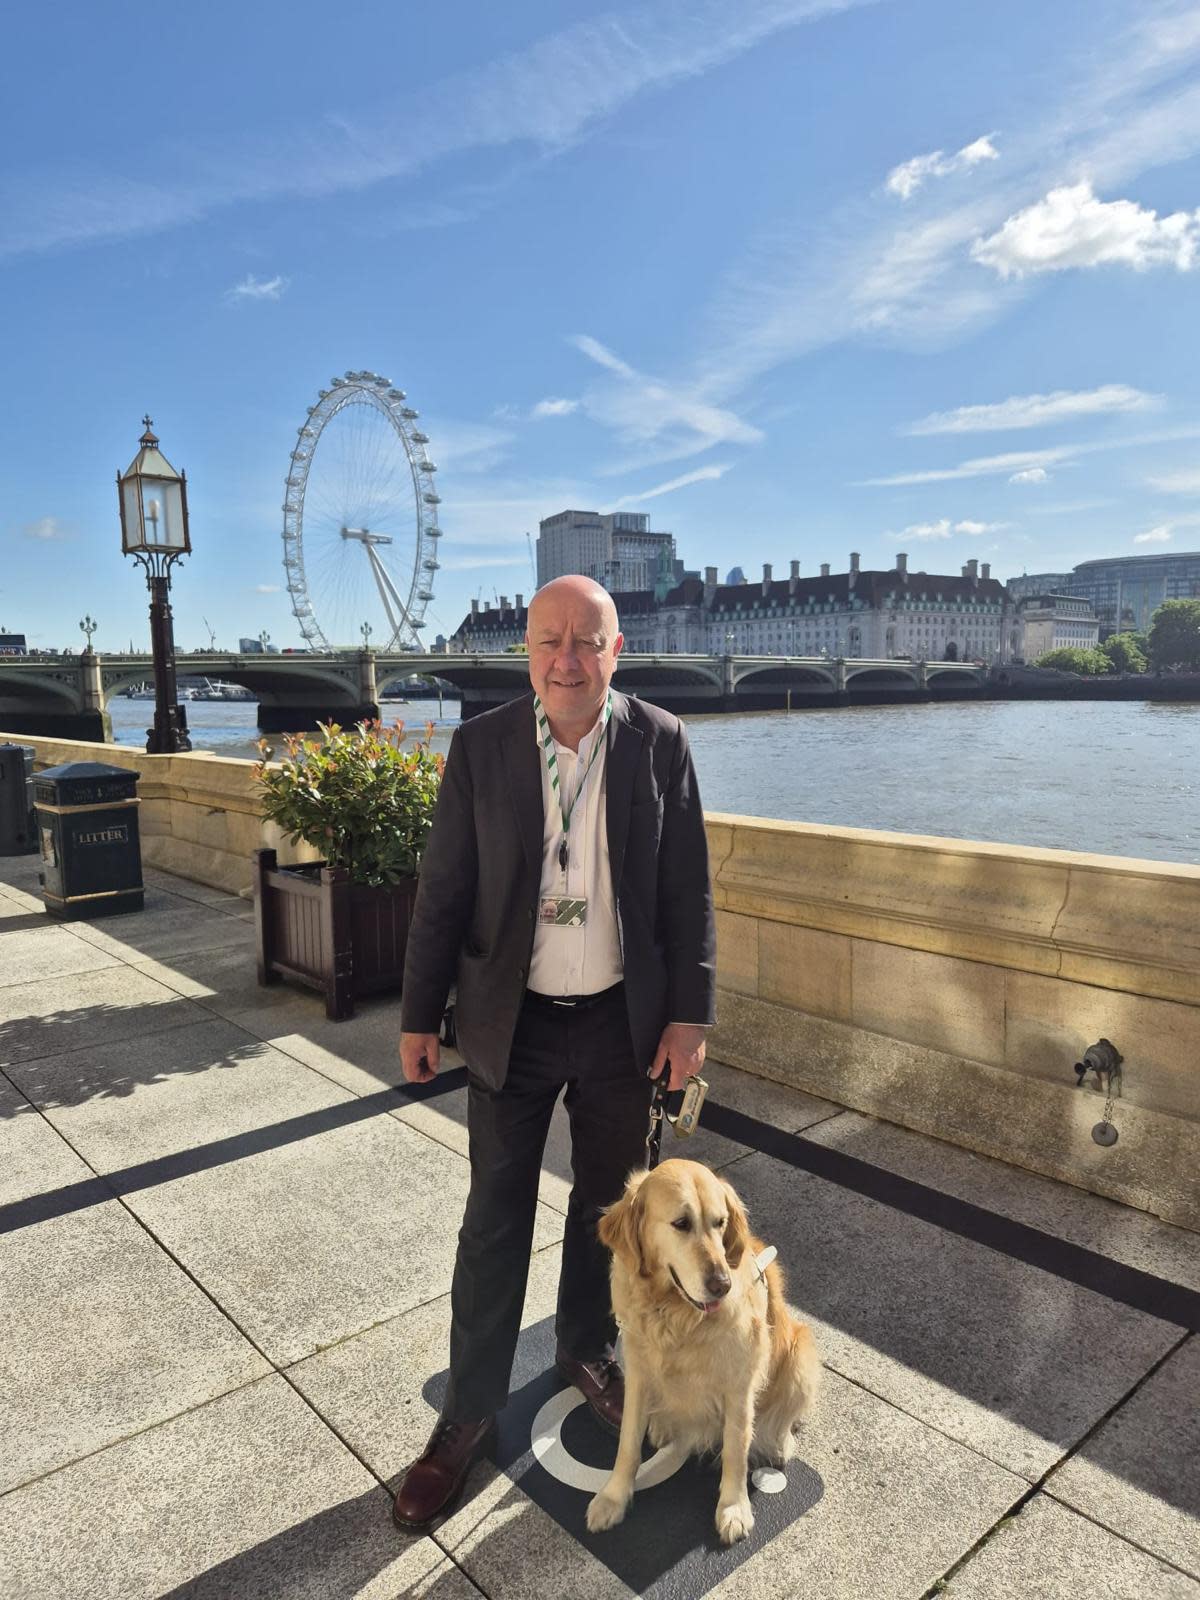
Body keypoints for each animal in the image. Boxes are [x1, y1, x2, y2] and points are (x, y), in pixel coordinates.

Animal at [588, 1158, 825, 1542]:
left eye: (720, 1222)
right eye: (681, 1224)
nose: (722, 1285)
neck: (675, 1314)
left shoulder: (739, 1387)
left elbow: (735, 1449)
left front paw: (733, 1508)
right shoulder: (638, 1372)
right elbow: (627, 1444)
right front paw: (613, 1497)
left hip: (801, 1354)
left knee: (781, 1419)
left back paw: (779, 1444)